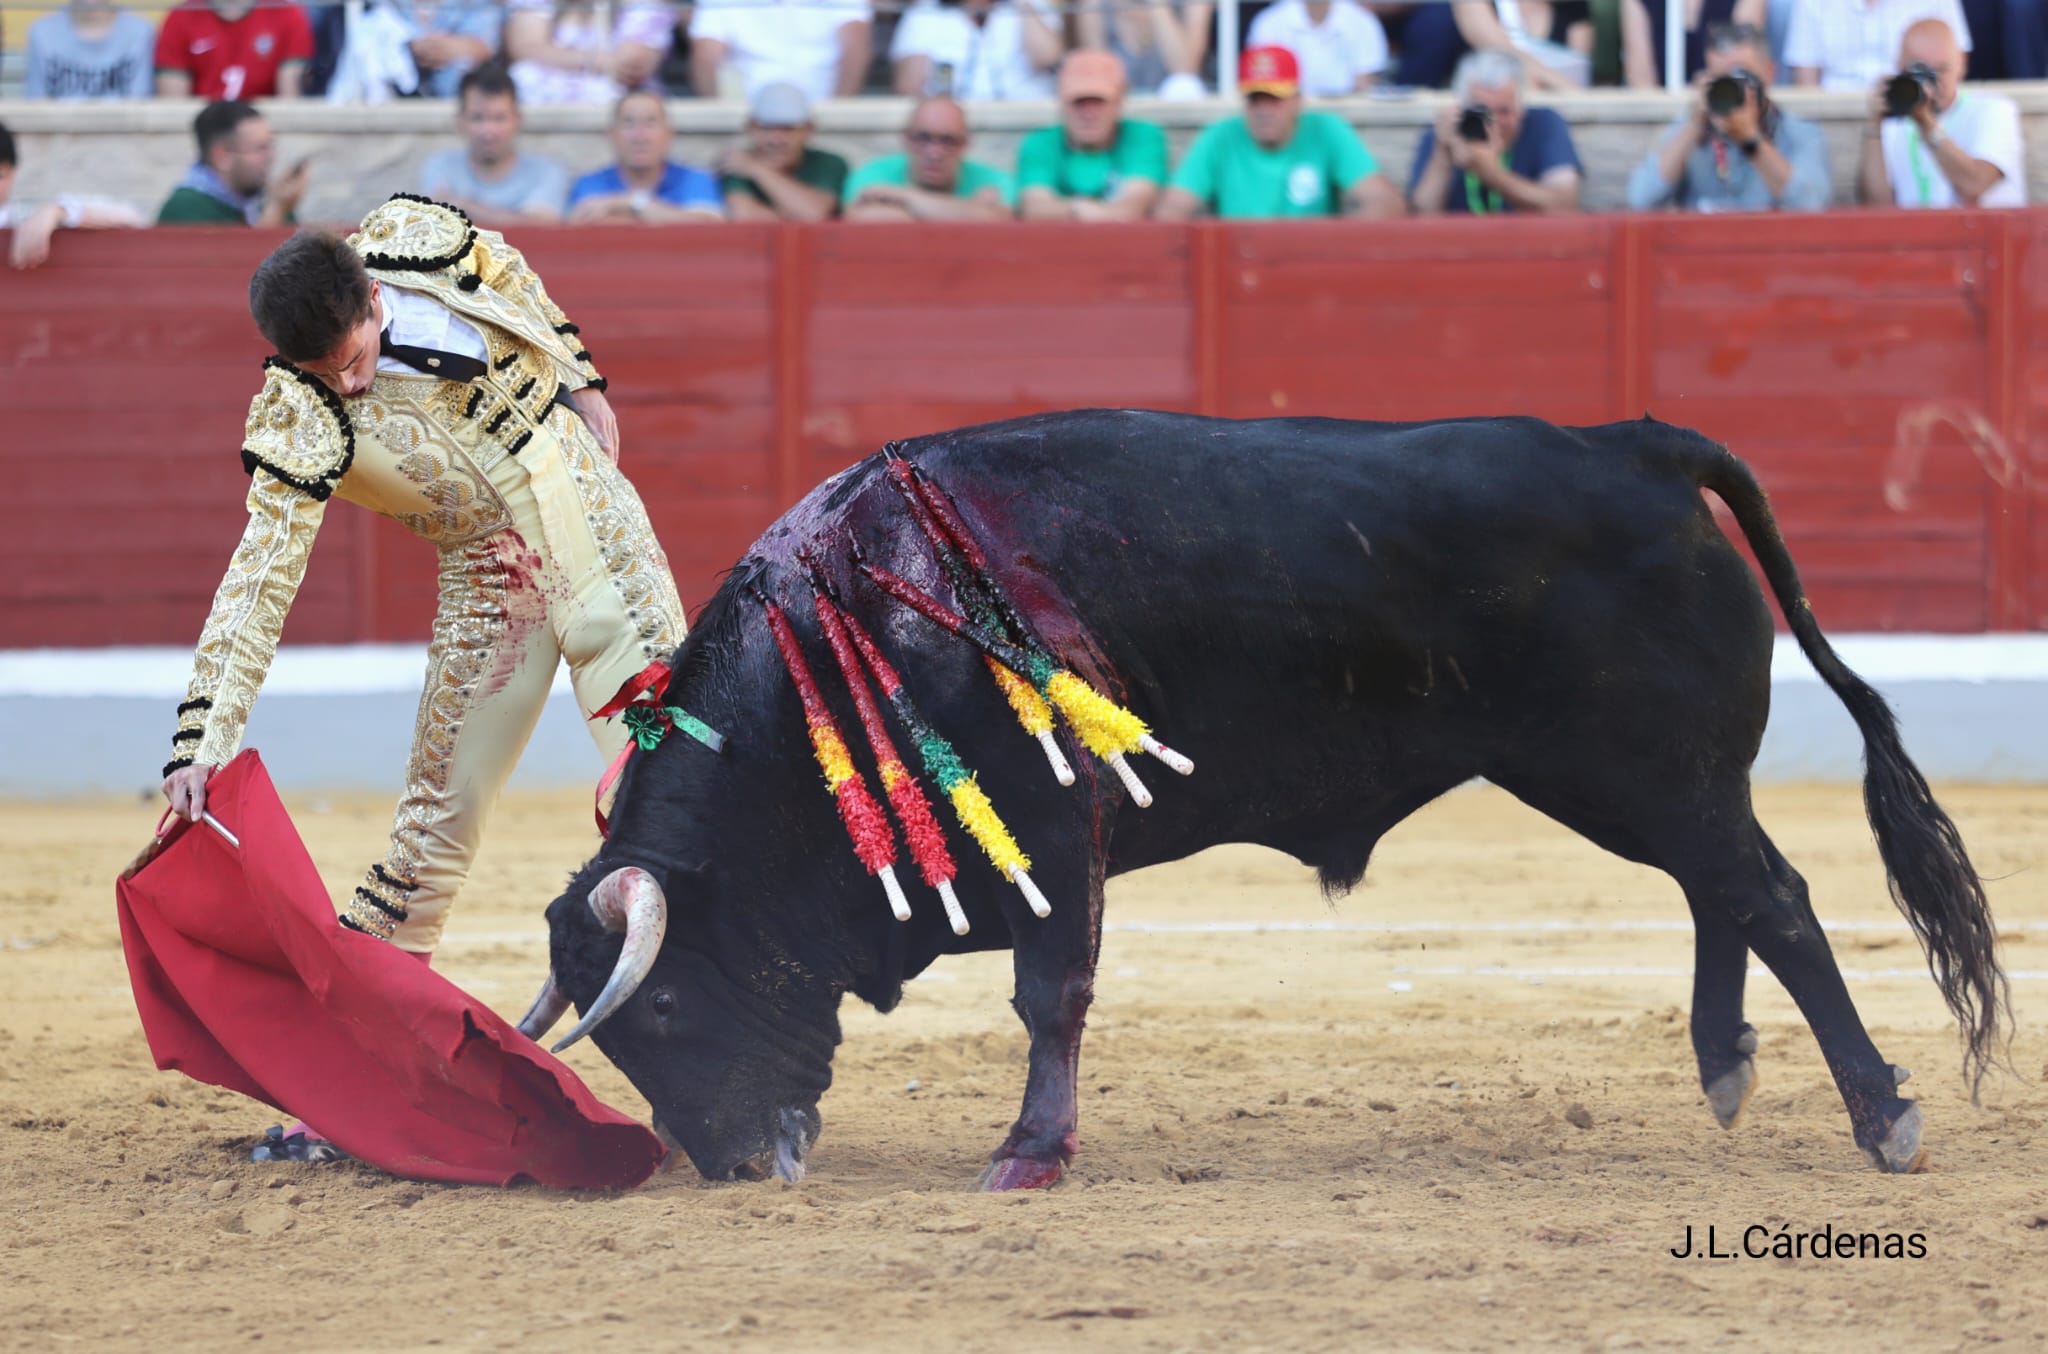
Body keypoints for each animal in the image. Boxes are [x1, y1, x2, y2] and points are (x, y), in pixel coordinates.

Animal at [515, 410, 2007, 1189]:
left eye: (659, 1007)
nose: (731, 1161)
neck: (854, 623)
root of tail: (1631, 442)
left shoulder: (1057, 835)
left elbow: (1049, 995)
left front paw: (1030, 1151)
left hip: (1647, 769)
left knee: (1775, 898)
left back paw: (1881, 1116)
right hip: (1640, 778)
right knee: (1725, 893)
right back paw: (1724, 1065)